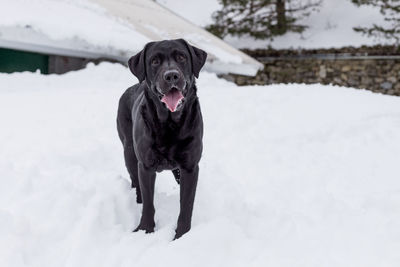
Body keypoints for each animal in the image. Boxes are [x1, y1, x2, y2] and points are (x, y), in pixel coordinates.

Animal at [115, 38, 206, 240]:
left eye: (181, 57)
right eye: (155, 61)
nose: (171, 76)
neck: (169, 125)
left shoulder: (190, 167)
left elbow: (186, 205)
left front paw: (181, 236)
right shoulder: (146, 166)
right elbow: (149, 203)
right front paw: (145, 230)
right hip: (129, 153)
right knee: (136, 184)